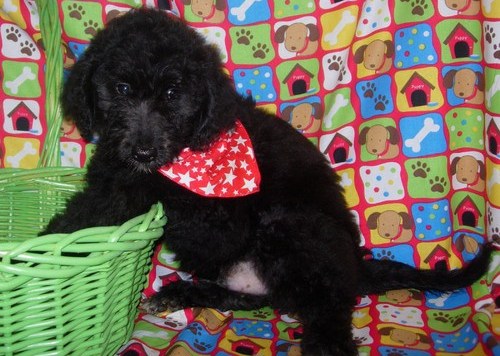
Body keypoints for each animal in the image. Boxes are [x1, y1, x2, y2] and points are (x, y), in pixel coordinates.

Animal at [47, 9, 492, 356]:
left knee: (326, 307)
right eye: (121, 89)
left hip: (291, 226)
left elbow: (140, 199)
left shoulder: (214, 215)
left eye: (173, 94)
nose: (142, 151)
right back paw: (183, 293)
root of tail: (356, 266)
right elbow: (92, 207)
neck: (188, 151)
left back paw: (326, 345)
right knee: (258, 297)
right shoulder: (113, 179)